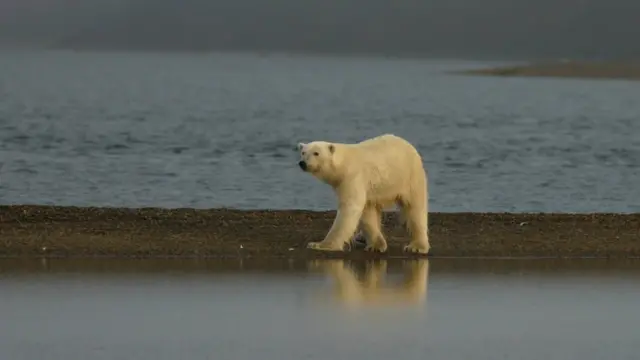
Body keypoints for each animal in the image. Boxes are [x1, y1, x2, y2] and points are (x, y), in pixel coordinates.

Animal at [296, 134, 430, 255]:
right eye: (303, 152)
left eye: (316, 153)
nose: (302, 163)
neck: (343, 165)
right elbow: (367, 212)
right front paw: (376, 245)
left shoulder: (353, 177)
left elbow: (350, 207)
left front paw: (319, 244)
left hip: (408, 177)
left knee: (414, 208)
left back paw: (417, 246)